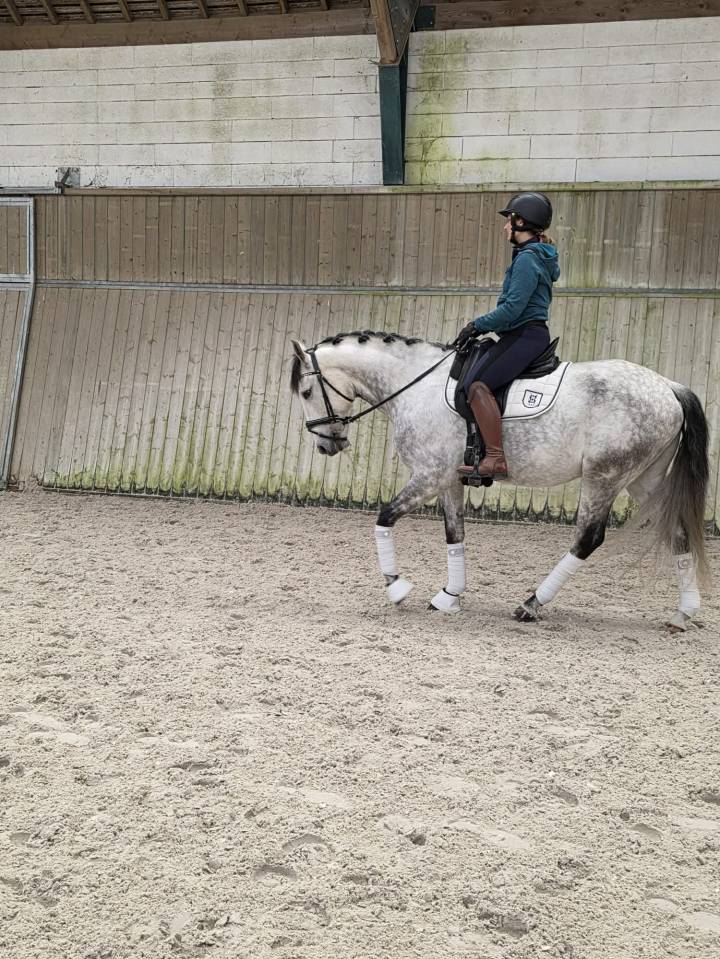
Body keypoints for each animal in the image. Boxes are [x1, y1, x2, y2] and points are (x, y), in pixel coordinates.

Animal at [289, 330, 710, 631]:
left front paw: (396, 587)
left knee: (588, 539)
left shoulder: (428, 475)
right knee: (677, 531)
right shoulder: (448, 480)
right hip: (644, 479)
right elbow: (454, 535)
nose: (326, 444)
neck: (415, 385)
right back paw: (683, 614)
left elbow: (384, 518)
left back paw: (530, 605)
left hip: (605, 475)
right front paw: (449, 596)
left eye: (307, 391)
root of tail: (669, 386)